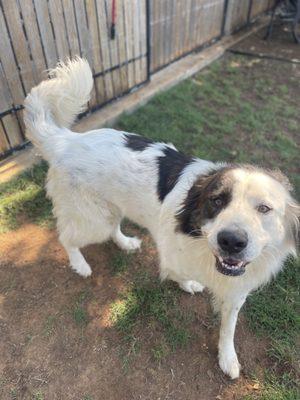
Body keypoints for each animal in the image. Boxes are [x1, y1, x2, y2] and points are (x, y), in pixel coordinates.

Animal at [24, 57, 300, 378]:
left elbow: (228, 327)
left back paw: (126, 243)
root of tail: (67, 139)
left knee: (112, 228)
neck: (202, 243)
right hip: (94, 218)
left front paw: (227, 357)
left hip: (112, 207)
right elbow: (175, 272)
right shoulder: (172, 254)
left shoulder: (236, 289)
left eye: (264, 209)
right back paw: (80, 264)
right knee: (66, 236)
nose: (231, 241)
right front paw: (189, 283)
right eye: (217, 200)